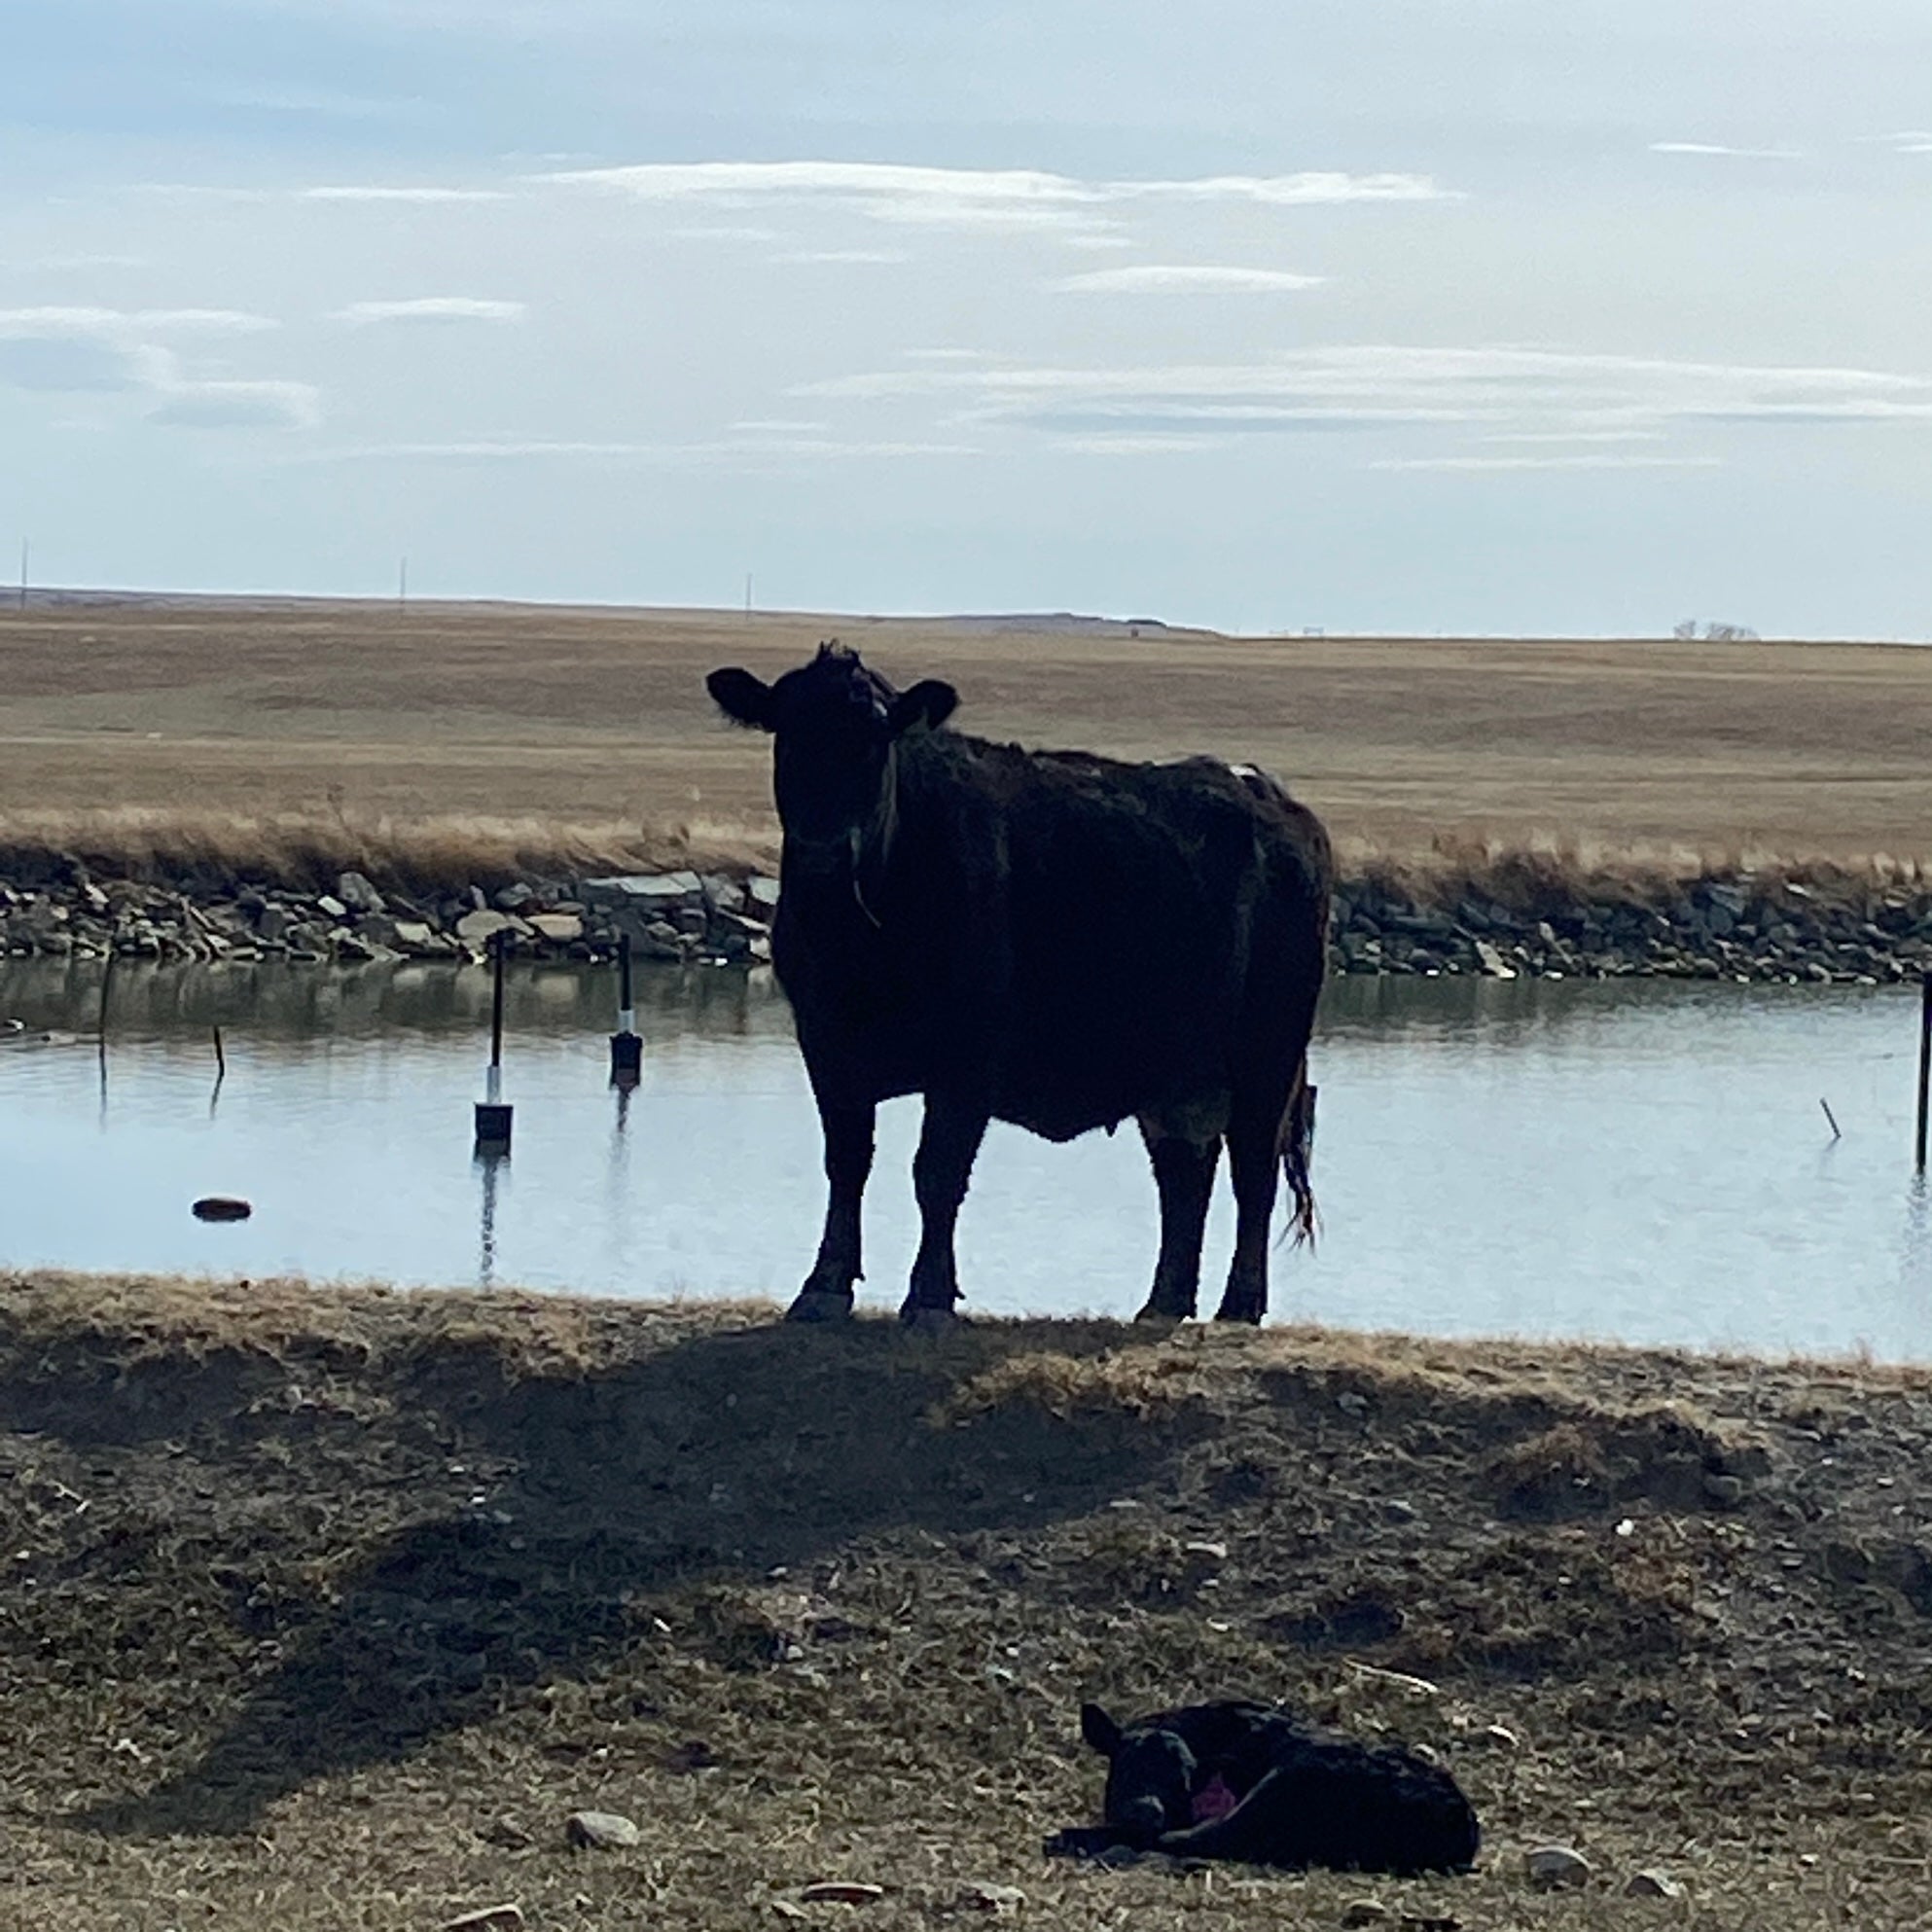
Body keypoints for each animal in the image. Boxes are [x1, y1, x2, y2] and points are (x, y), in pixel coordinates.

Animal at [705, 642, 1332, 1326]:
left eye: (874, 740)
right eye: (787, 733)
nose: (822, 851)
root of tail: (1260, 790)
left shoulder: (969, 1052)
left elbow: (938, 1172)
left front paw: (929, 1296)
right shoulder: (825, 1043)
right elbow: (847, 1163)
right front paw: (823, 1286)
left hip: (1267, 1053)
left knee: (1253, 1171)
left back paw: (1239, 1304)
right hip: (1174, 1067)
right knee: (1184, 1173)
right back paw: (1162, 1303)